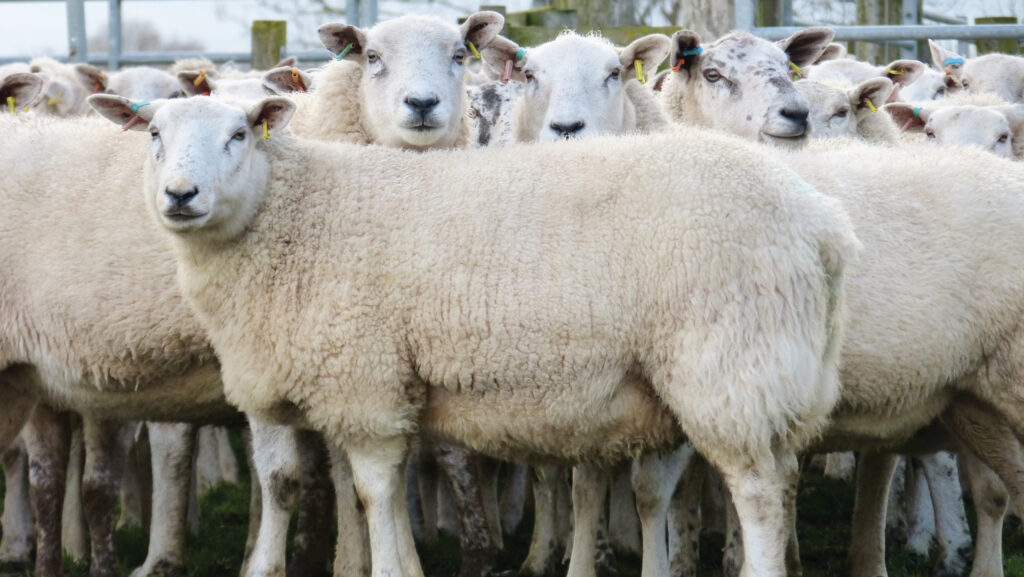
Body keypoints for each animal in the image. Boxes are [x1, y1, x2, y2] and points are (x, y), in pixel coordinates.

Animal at [90, 90, 856, 577]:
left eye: (239, 135)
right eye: (154, 136)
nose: (180, 195)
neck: (292, 219)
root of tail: (823, 227)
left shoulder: (365, 385)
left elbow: (373, 493)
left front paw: (390, 567)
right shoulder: (339, 390)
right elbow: (330, 490)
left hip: (730, 369)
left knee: (759, 495)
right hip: (711, 384)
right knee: (743, 482)